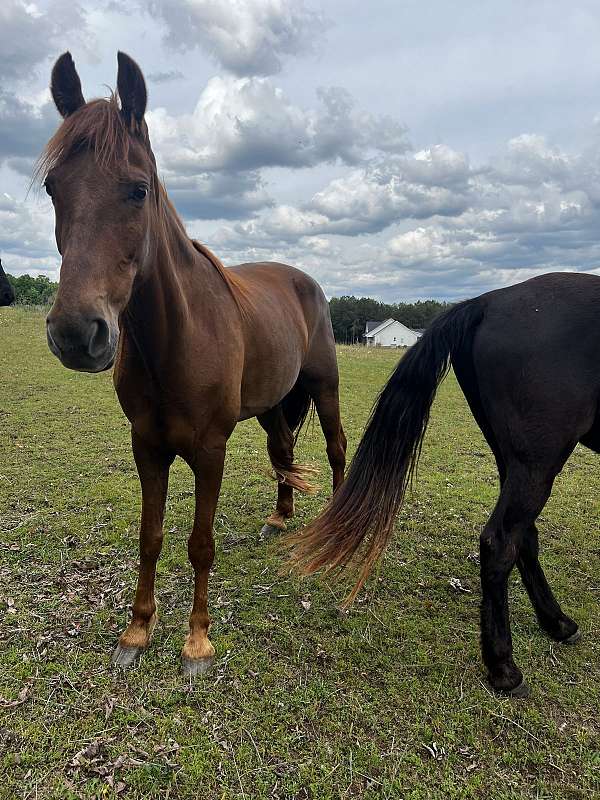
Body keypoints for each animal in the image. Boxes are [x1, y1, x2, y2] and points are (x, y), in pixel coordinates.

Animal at [40, 52, 346, 675]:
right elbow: (151, 537)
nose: (77, 333)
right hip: (272, 404)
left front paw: (197, 641)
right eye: (53, 187)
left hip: (323, 387)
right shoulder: (148, 447)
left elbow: (200, 542)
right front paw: (137, 631)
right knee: (285, 450)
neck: (176, 341)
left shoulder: (209, 450)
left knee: (334, 449)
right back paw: (280, 517)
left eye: (138, 189)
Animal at [287, 271, 600, 697]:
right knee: (501, 541)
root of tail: (487, 301)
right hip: (538, 458)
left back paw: (558, 625)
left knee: (523, 536)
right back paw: (505, 668)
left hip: (514, 457)